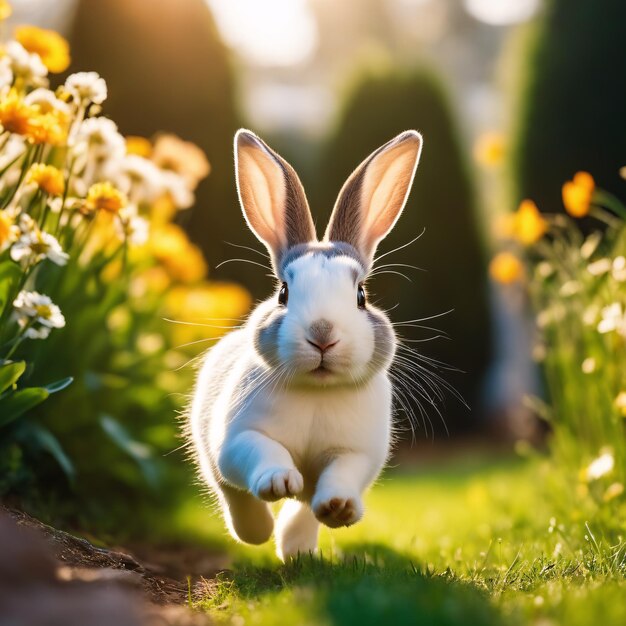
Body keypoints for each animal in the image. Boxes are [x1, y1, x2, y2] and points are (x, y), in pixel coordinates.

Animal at [188, 128, 422, 560]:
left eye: (361, 295)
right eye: (283, 292)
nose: (323, 334)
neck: (317, 391)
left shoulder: (356, 453)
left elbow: (340, 475)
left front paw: (339, 507)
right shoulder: (239, 438)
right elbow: (263, 452)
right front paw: (279, 481)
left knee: (300, 512)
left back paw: (297, 551)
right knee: (233, 496)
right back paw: (257, 531)